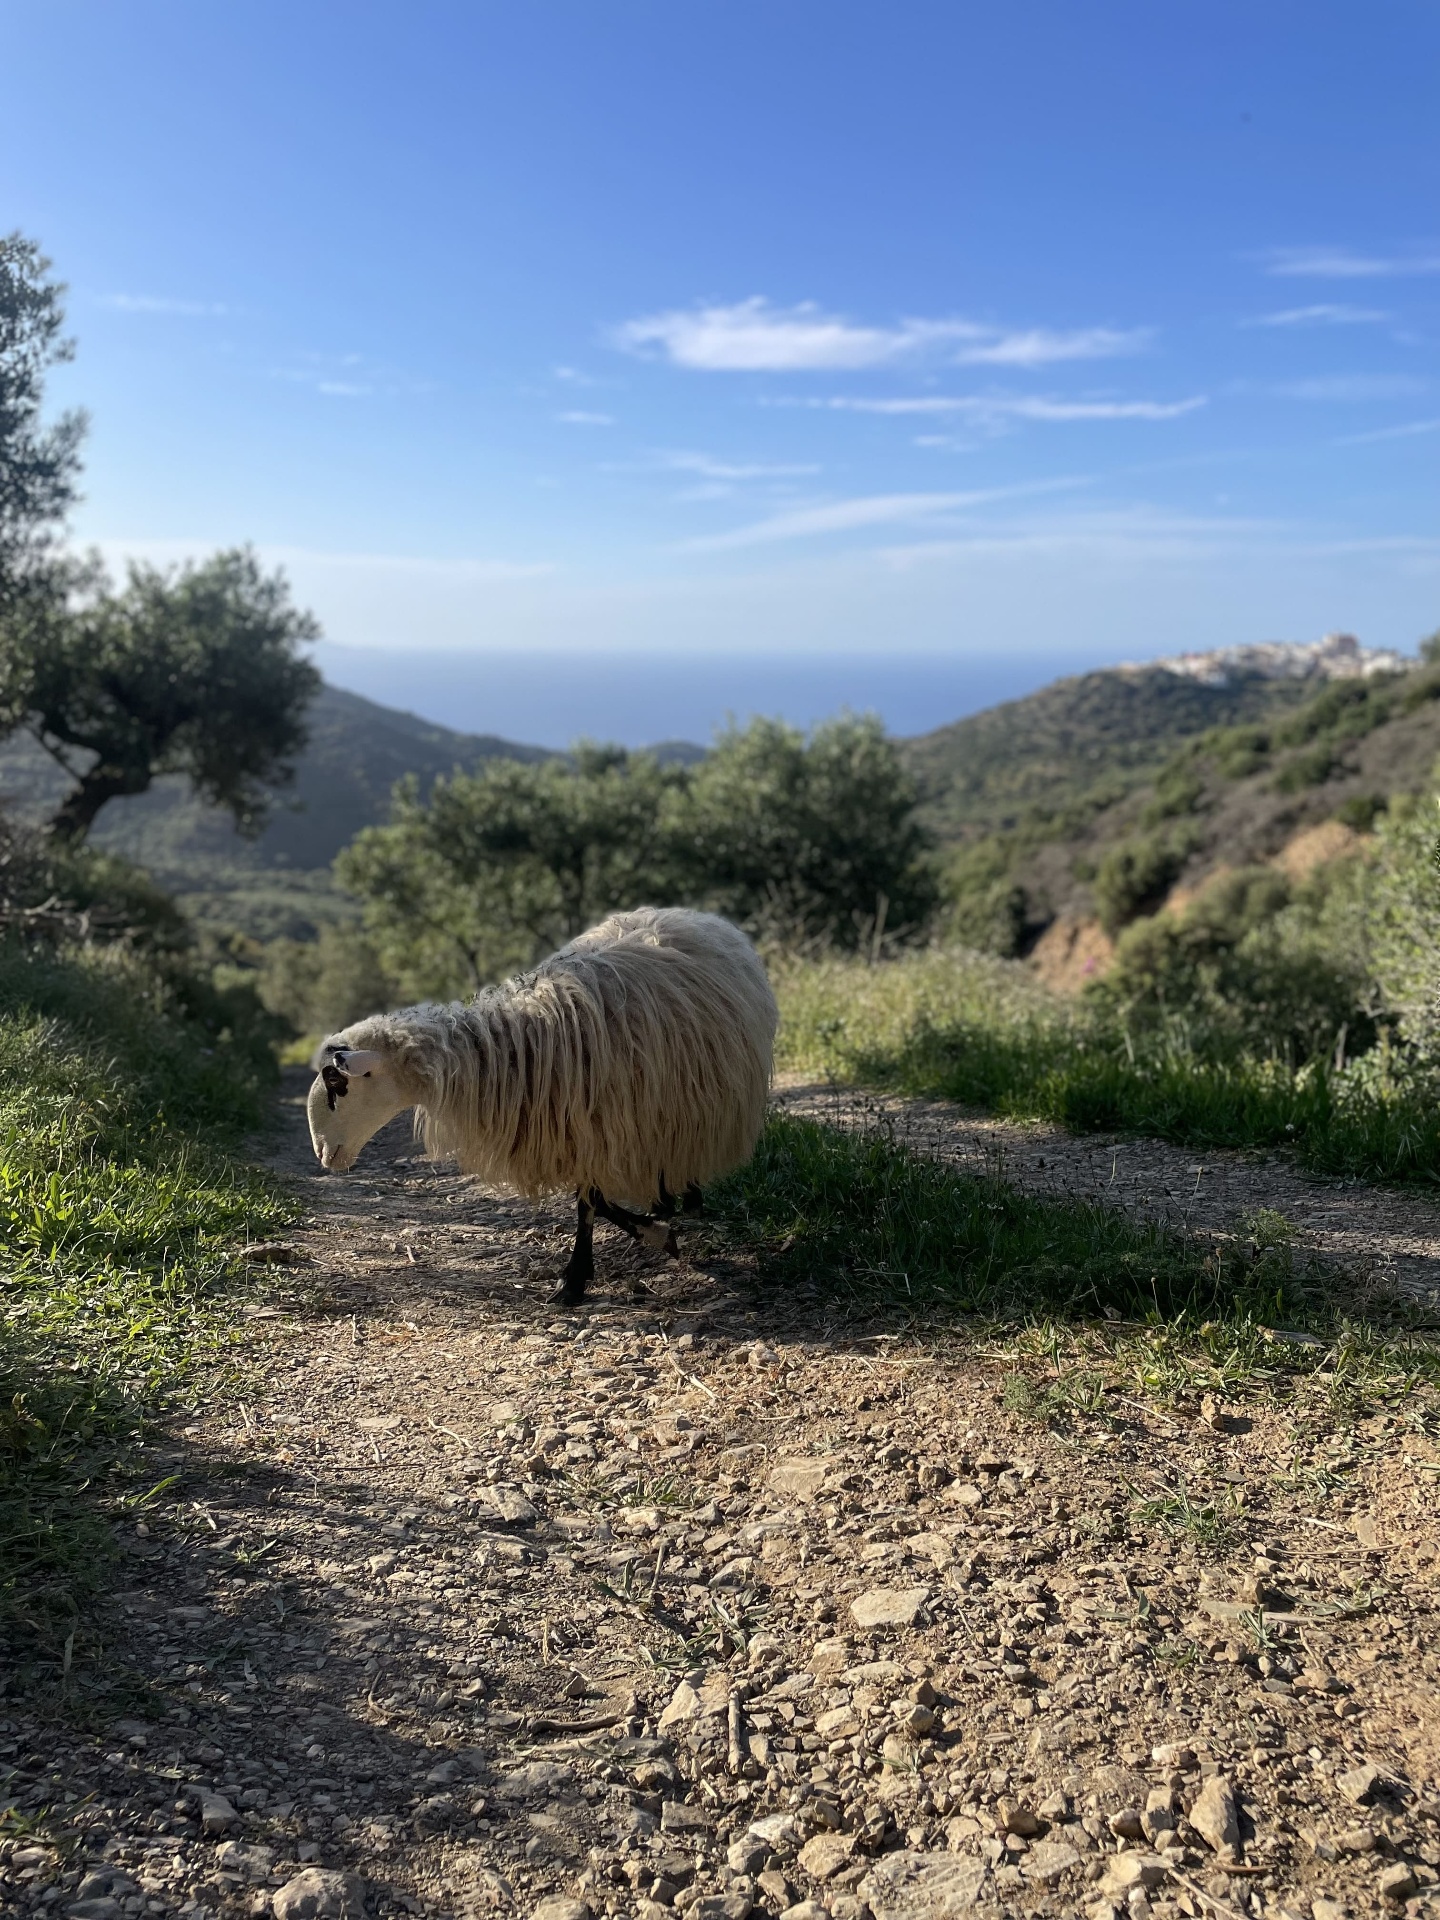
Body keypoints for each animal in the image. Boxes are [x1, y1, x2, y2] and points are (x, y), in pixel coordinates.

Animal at [306, 905, 778, 1304]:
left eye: (337, 1084)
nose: (323, 1154)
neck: (513, 1046)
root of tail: (685, 912)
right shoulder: (579, 1129)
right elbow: (593, 1197)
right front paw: (651, 1234)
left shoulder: (600, 1122)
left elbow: (589, 1203)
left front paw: (579, 1278)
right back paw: (666, 1201)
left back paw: (687, 1198)